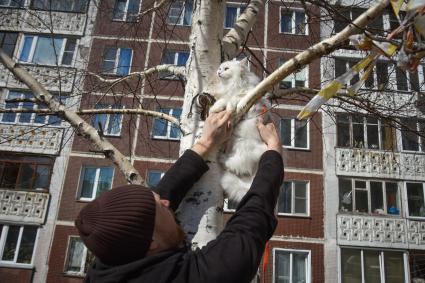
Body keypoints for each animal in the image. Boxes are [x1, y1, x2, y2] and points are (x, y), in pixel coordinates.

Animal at [210, 58, 270, 204]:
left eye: (226, 69)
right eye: (220, 68)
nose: (219, 72)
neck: (232, 85)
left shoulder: (246, 95)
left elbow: (235, 100)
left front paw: (232, 107)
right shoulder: (226, 95)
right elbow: (222, 101)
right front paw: (214, 109)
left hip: (242, 147)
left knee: (235, 164)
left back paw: (222, 158)